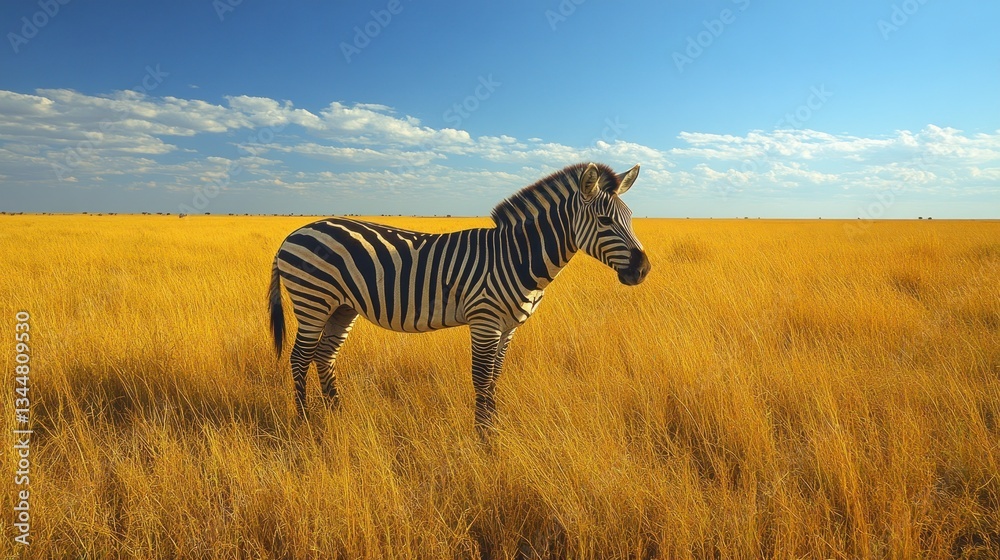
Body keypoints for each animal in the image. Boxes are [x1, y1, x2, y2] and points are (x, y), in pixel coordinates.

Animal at [268, 162, 650, 438]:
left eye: (632, 218)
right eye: (604, 220)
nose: (643, 270)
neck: (516, 257)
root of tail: (295, 232)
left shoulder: (508, 328)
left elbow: (495, 377)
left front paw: (494, 429)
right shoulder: (485, 320)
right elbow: (481, 377)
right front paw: (484, 440)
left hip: (342, 307)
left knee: (324, 355)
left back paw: (336, 413)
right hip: (313, 301)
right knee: (300, 358)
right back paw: (304, 420)